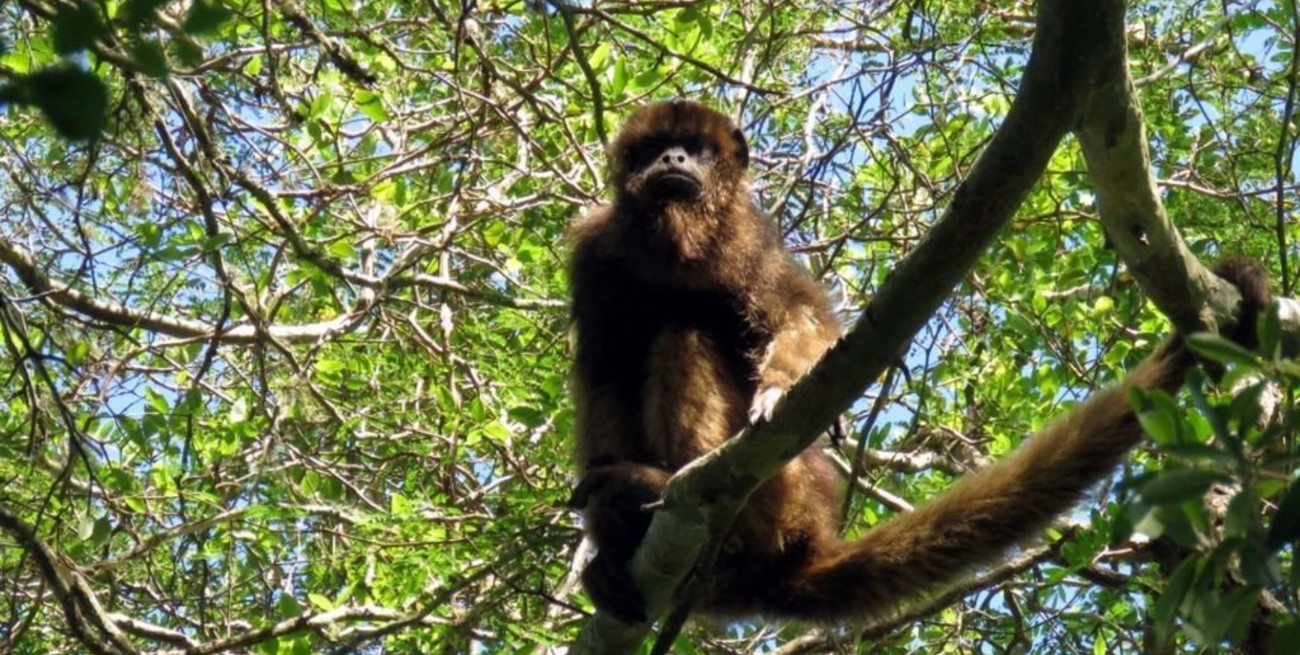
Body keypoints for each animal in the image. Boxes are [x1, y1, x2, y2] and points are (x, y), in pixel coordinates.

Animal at [565, 99, 1274, 625]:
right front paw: (603, 531)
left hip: (784, 500)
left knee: (680, 334)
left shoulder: (747, 238)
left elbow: (798, 315)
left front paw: (776, 391)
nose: (673, 159)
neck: (673, 246)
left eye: (695, 146)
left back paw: (676, 497)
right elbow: (600, 375)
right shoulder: (595, 252)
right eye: (654, 148)